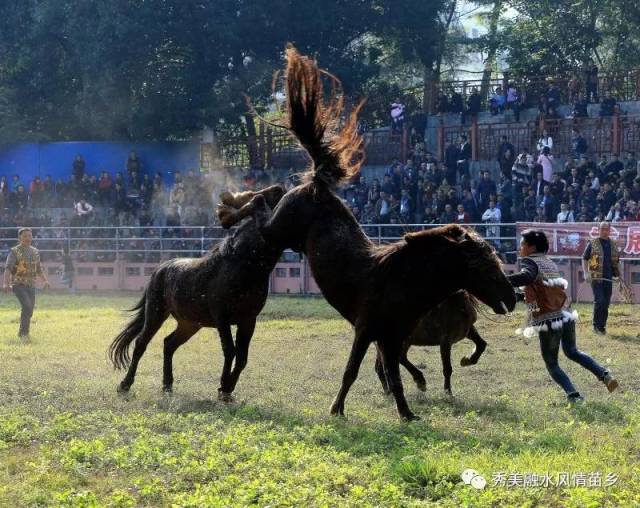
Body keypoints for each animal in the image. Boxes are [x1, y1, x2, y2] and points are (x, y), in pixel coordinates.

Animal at [109, 185, 284, 398]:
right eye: (256, 195)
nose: (279, 188)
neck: (242, 263)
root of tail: (160, 269)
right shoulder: (221, 318)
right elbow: (230, 350)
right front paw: (223, 386)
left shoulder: (248, 320)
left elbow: (242, 357)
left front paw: (227, 389)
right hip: (156, 313)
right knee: (141, 343)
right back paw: (125, 384)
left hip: (190, 323)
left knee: (169, 343)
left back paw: (167, 385)